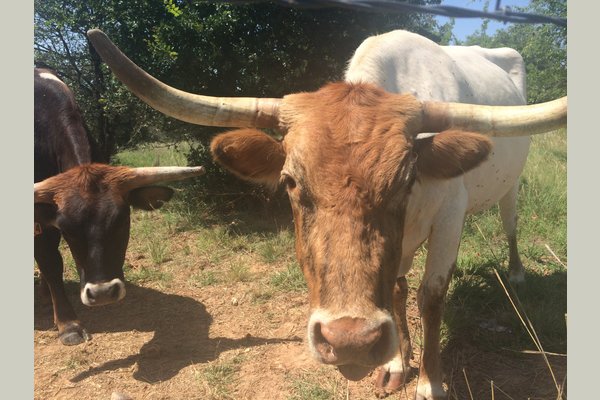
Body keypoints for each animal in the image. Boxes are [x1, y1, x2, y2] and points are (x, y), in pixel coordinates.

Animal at [85, 29, 568, 398]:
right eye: (290, 182)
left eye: (406, 180)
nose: (350, 342)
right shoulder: (398, 247)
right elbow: (395, 288)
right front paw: (397, 363)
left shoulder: (450, 218)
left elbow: (430, 296)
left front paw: (430, 383)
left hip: (510, 188)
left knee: (510, 224)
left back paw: (517, 274)